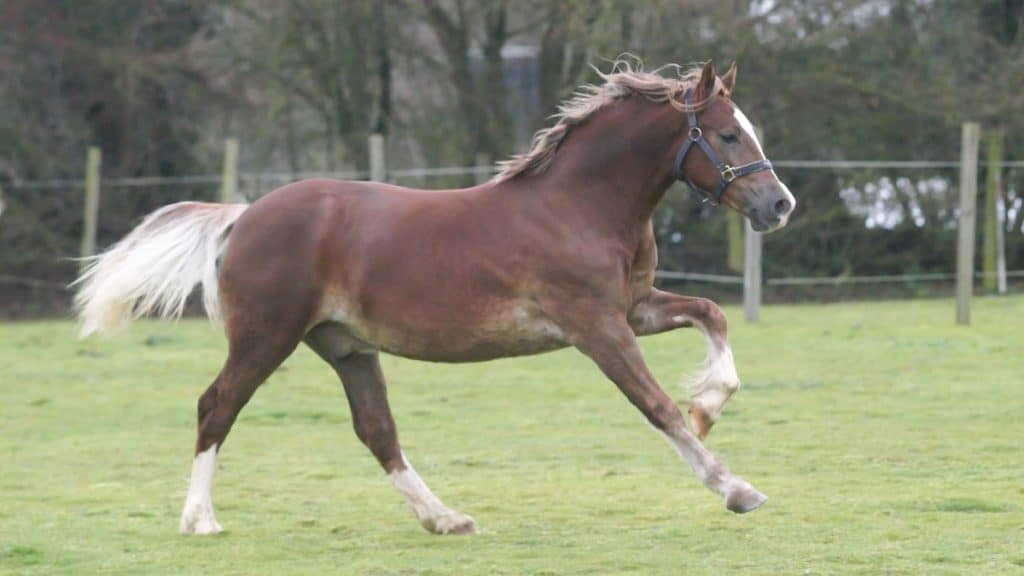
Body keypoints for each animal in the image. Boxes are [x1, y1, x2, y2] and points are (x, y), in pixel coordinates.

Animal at [77, 59, 798, 532]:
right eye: (727, 134)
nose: (779, 204)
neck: (579, 205)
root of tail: (245, 213)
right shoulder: (597, 326)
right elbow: (655, 406)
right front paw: (735, 488)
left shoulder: (634, 309)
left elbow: (711, 315)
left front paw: (711, 402)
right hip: (265, 338)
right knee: (216, 406)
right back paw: (199, 519)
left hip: (346, 348)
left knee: (376, 430)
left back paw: (444, 517)